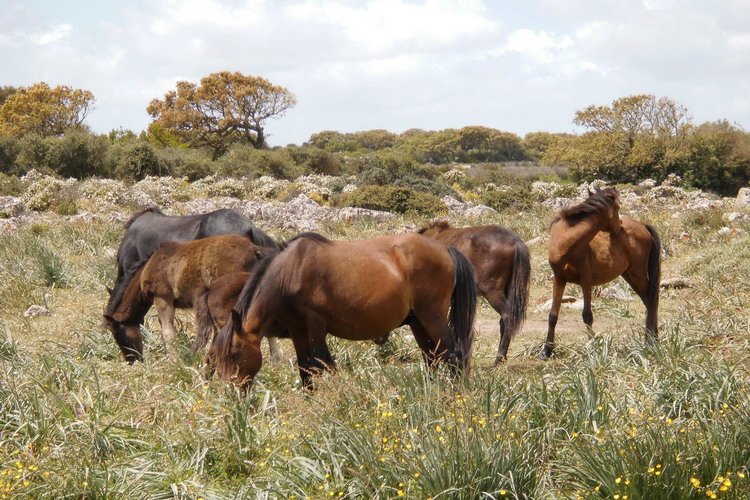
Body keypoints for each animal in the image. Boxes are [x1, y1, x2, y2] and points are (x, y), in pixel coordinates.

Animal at [207, 232, 476, 388]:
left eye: (234, 354)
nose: (229, 392)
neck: (291, 272)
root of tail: (445, 249)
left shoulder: (316, 325)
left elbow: (322, 364)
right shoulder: (297, 330)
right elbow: (305, 369)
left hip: (432, 316)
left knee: (454, 355)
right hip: (418, 321)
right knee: (432, 357)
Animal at [540, 188, 664, 360]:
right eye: (618, 207)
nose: (619, 227)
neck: (566, 244)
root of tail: (643, 225)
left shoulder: (585, 280)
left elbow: (587, 315)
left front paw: (593, 349)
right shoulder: (559, 279)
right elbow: (553, 316)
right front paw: (546, 351)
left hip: (637, 274)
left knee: (652, 302)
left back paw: (651, 342)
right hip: (629, 276)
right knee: (649, 302)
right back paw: (652, 340)